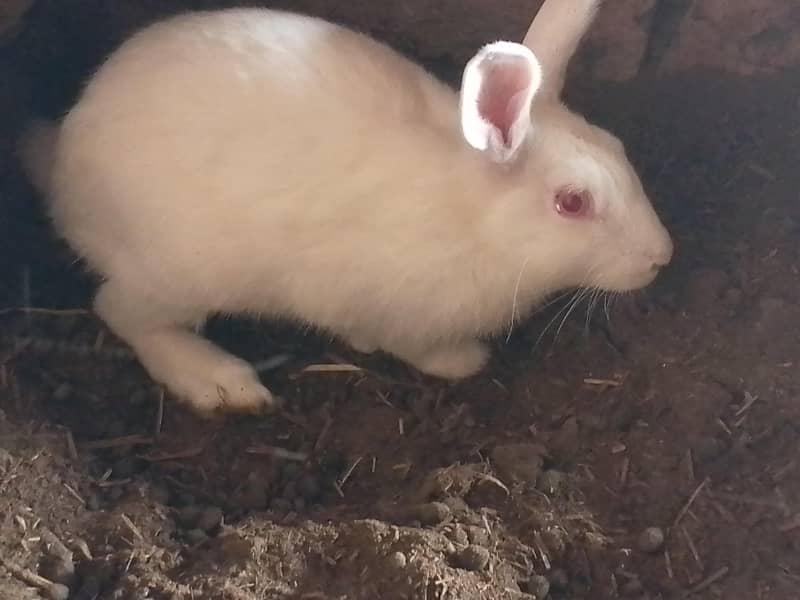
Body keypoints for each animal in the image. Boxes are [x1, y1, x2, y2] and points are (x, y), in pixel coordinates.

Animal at [18, 1, 673, 416]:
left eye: (620, 148)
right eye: (572, 202)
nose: (661, 257)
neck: (475, 221)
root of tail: (66, 164)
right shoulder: (384, 307)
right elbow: (406, 344)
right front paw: (462, 361)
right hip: (178, 271)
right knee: (121, 311)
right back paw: (220, 381)